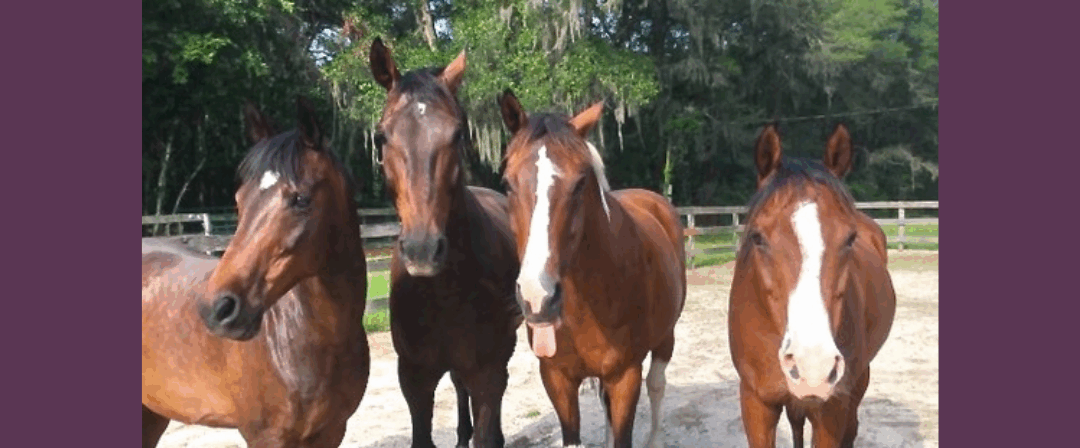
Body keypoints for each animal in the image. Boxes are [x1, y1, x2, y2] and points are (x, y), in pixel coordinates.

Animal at [496, 89, 687, 448]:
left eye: (579, 183)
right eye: (508, 184)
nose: (538, 298)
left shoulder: (625, 376)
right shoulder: (556, 378)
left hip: (665, 337)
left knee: (657, 384)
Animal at [727, 123, 897, 448]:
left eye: (850, 239)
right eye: (757, 237)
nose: (813, 367)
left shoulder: (832, 408)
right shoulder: (756, 402)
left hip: (858, 381)